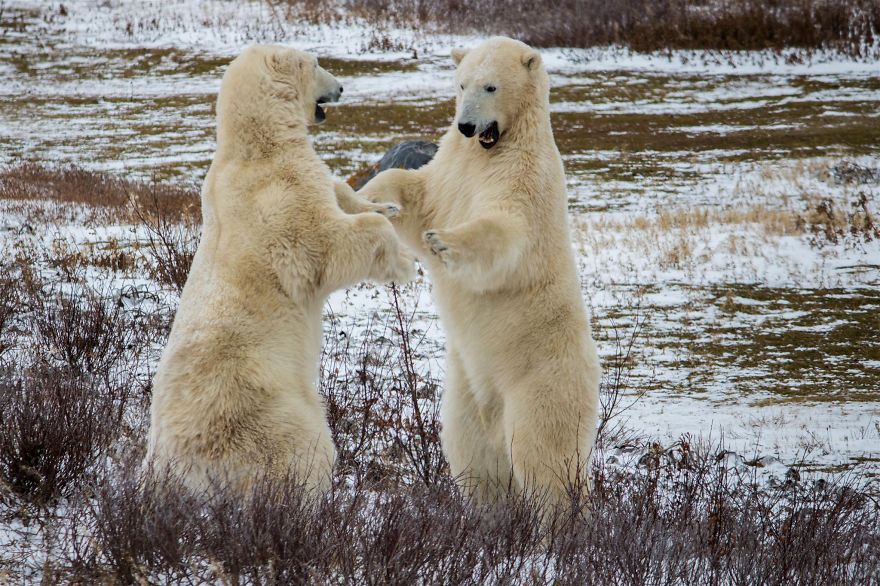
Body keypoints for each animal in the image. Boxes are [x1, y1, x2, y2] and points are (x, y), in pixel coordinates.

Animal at [146, 45, 413, 496]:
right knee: (298, 445)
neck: (257, 146)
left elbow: (337, 190)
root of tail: (173, 465)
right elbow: (326, 245)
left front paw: (384, 205)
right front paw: (404, 260)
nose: (342, 87)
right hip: (265, 404)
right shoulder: (281, 197)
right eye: (318, 63)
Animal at [358, 37, 601, 509]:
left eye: (491, 86)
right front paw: (370, 197)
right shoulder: (454, 170)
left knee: (545, 458)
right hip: (465, 393)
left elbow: (505, 231)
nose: (466, 125)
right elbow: (418, 194)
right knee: (471, 454)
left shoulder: (525, 177)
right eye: (461, 83)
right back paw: (483, 513)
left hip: (540, 380)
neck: (495, 147)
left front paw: (443, 242)